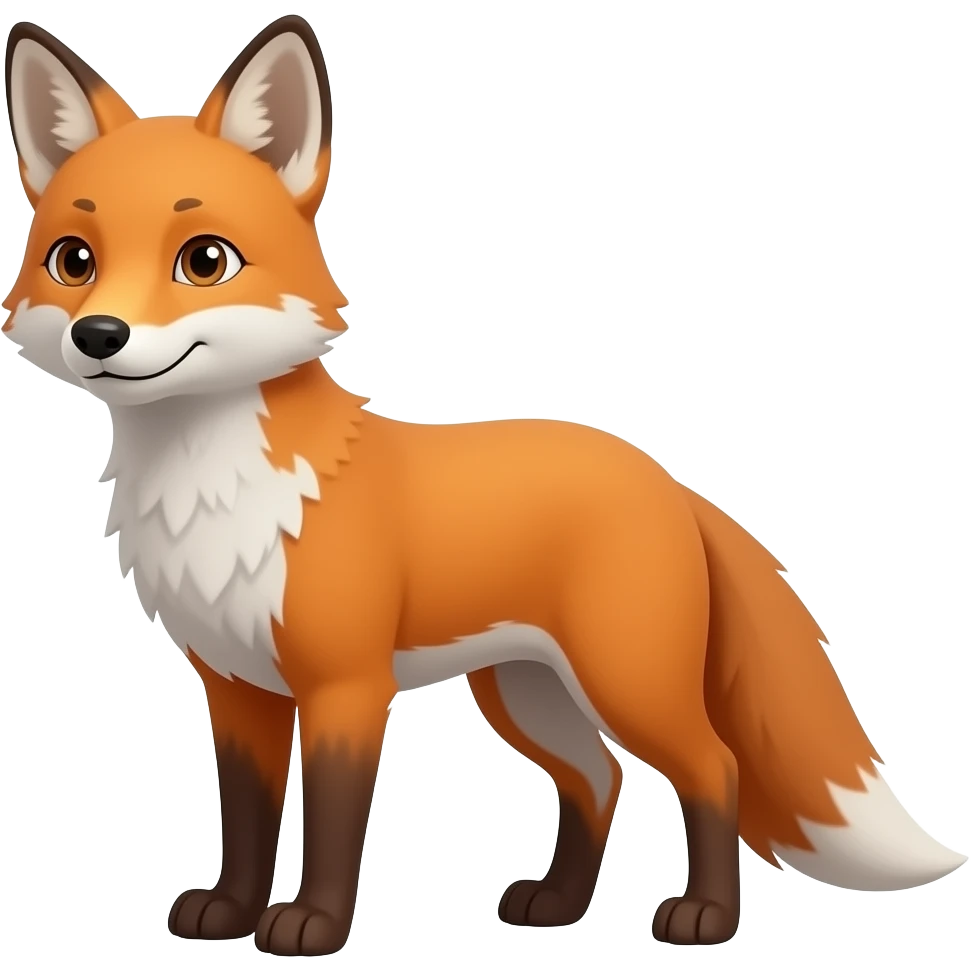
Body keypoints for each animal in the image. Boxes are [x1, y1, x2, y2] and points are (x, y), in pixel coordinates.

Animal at [2, 14, 966, 958]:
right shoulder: (237, 688)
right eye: (73, 260)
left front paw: (312, 926)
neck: (213, 489)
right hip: (527, 693)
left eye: (204, 261)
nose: (99, 335)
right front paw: (231, 912)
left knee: (711, 767)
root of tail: (666, 477)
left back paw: (704, 917)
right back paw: (558, 904)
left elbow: (334, 822)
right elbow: (244, 818)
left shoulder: (346, 685)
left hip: (627, 680)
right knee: (599, 778)